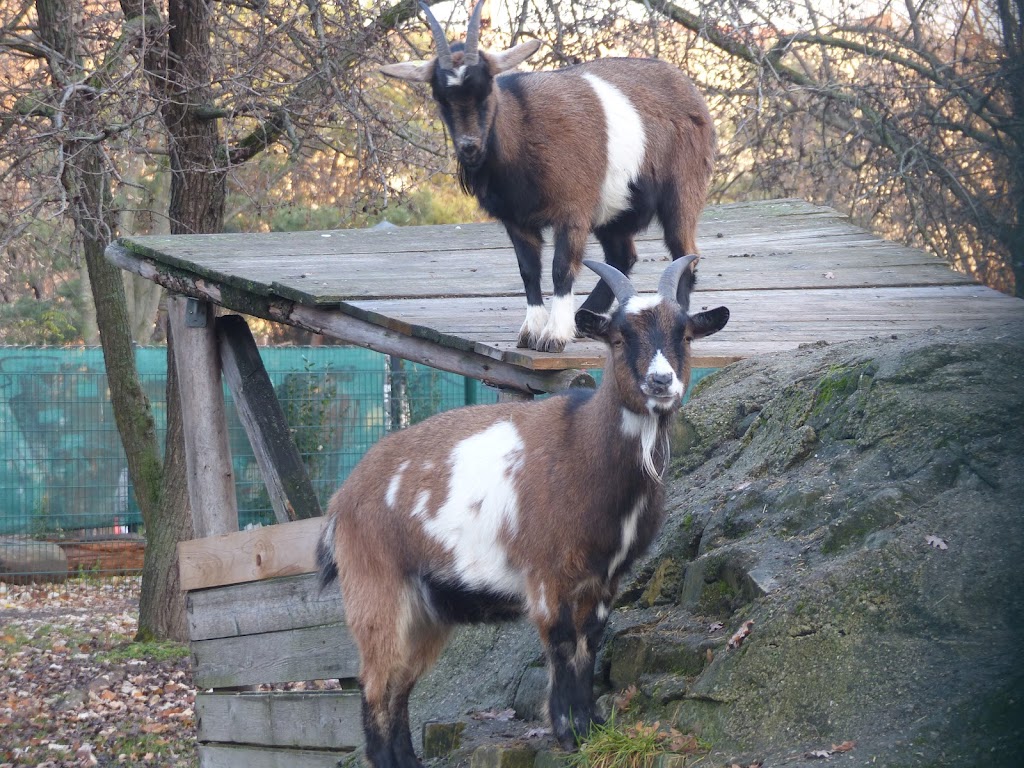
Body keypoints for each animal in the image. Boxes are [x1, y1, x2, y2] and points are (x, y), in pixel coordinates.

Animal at [319, 259, 729, 768]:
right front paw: (568, 733)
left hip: (428, 610)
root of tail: (341, 501)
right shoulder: (547, 575)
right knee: (376, 689)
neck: (582, 448)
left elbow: (589, 643)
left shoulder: (604, 579)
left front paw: (591, 727)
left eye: (686, 335)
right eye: (618, 337)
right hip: (376, 590)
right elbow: (562, 643)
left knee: (398, 688)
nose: (661, 383)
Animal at [380, 0, 716, 354]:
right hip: (613, 208)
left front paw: (554, 335)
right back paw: (586, 318)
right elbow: (529, 271)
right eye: (440, 97)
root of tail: (690, 89)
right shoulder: (516, 220)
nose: (470, 147)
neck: (524, 127)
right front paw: (531, 331)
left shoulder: (572, 212)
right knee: (622, 257)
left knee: (684, 253)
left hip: (682, 191)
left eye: (486, 89)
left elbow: (561, 269)